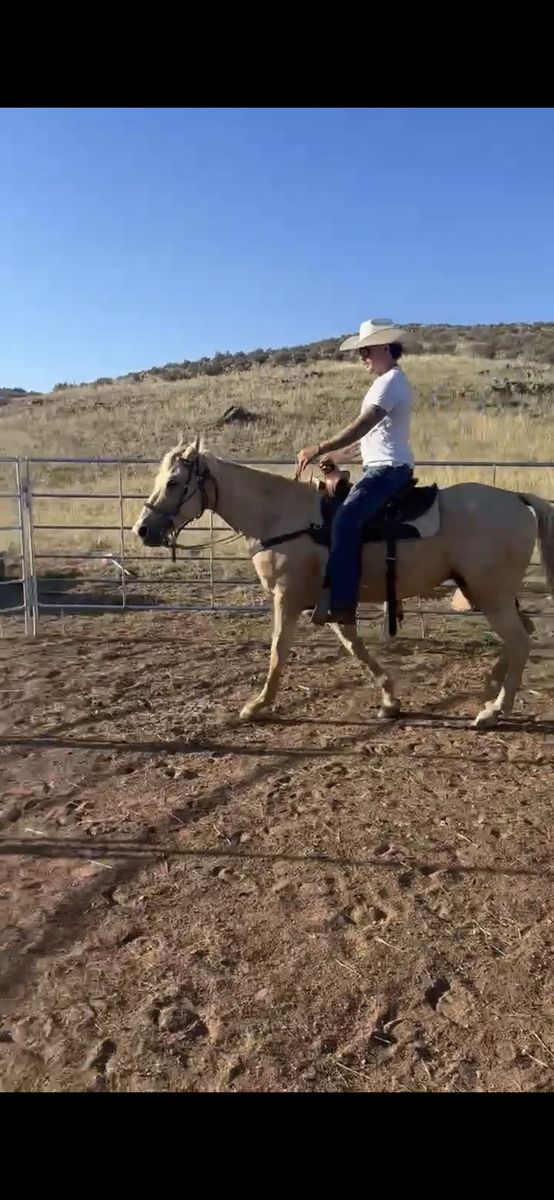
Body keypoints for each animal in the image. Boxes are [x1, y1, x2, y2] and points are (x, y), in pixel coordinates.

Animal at [133, 436, 554, 729]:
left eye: (174, 482)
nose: (143, 529)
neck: (280, 516)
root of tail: (516, 498)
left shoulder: (287, 598)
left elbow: (278, 652)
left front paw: (257, 705)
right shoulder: (335, 604)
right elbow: (356, 649)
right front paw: (390, 701)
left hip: (492, 595)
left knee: (520, 640)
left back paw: (494, 710)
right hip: (489, 592)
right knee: (524, 634)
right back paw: (490, 687)